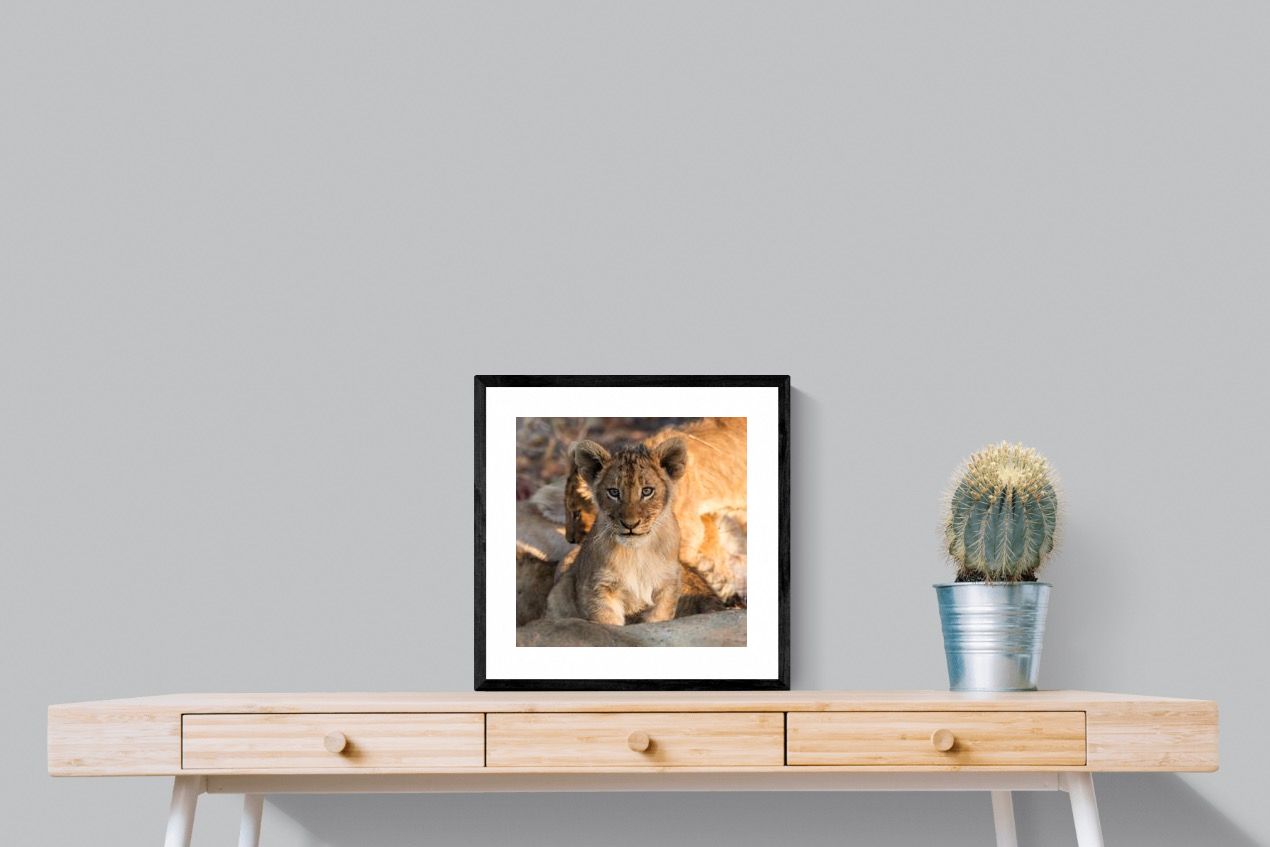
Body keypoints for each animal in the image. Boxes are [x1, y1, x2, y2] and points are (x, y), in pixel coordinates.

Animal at [565, 437, 688, 626]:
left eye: (647, 491)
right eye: (614, 492)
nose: (630, 524)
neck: (636, 552)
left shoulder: (668, 583)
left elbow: (658, 617)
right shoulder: (599, 587)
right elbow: (607, 621)